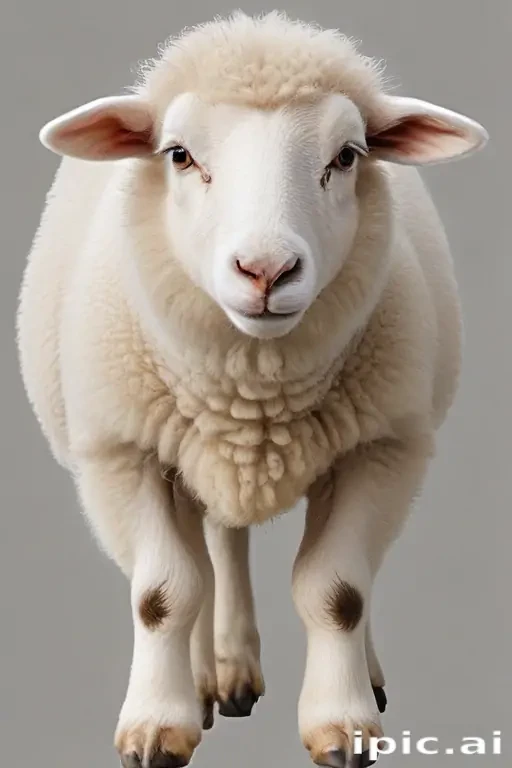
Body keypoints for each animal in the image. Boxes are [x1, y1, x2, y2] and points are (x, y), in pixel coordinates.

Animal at [16, 10, 488, 768]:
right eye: (178, 154)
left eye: (348, 155)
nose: (266, 270)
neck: (255, 393)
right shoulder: (120, 456)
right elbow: (163, 595)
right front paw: (158, 725)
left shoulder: (384, 450)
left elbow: (339, 590)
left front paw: (343, 724)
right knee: (214, 556)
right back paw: (216, 675)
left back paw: (330, 673)